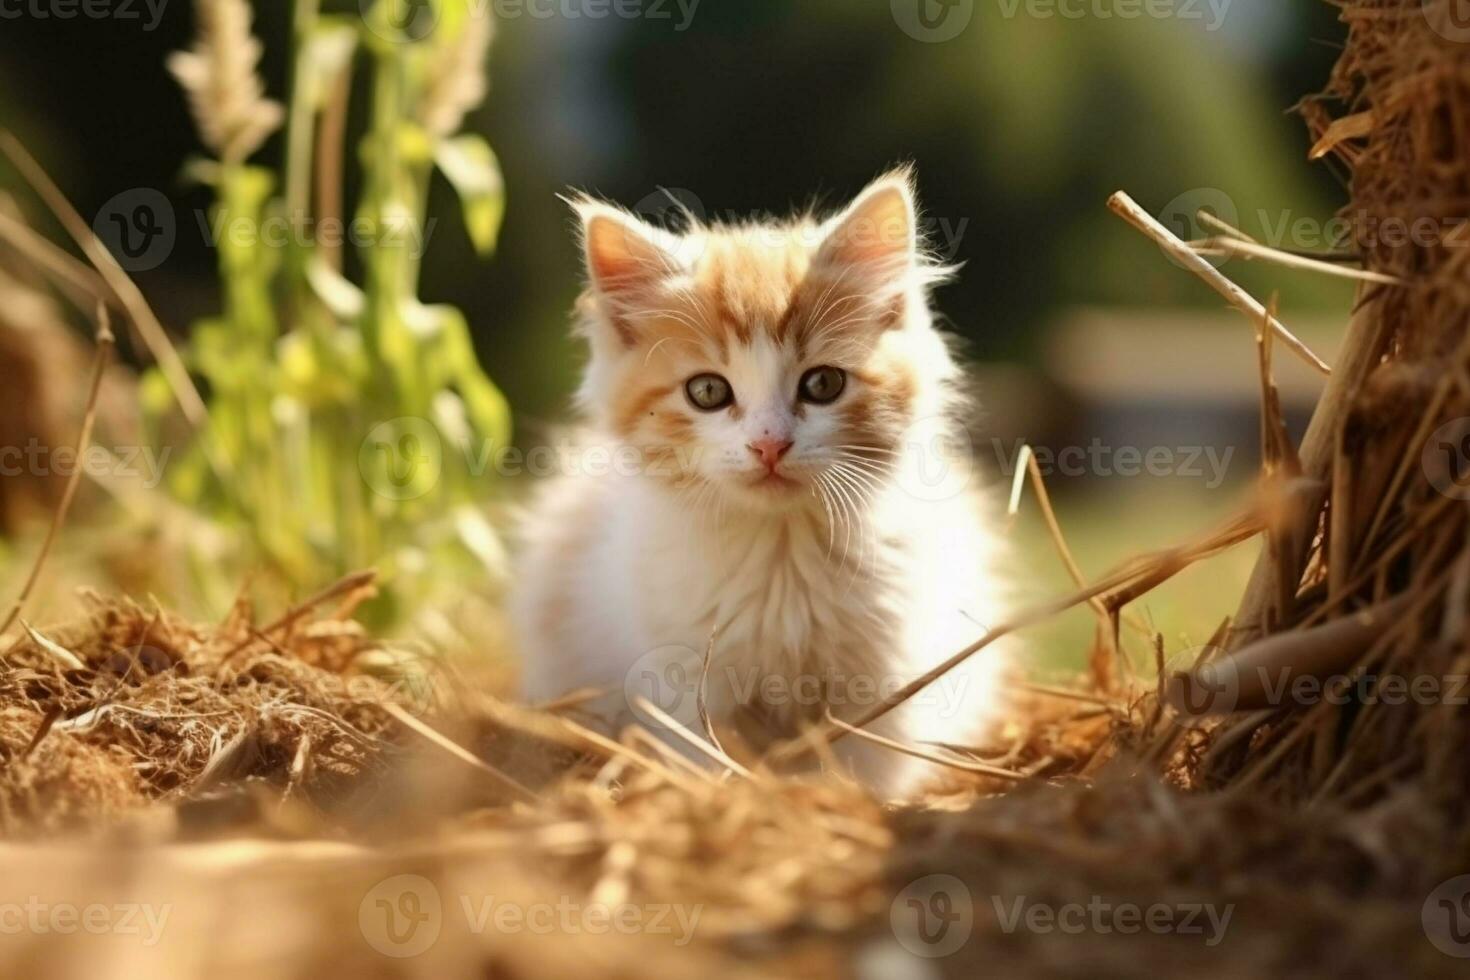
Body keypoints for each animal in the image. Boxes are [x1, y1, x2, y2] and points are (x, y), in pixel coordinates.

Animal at [508, 168, 1011, 799]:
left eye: (823, 384)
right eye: (707, 392)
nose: (770, 443)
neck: (781, 554)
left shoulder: (882, 683)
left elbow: (863, 766)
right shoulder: (684, 679)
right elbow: (708, 756)